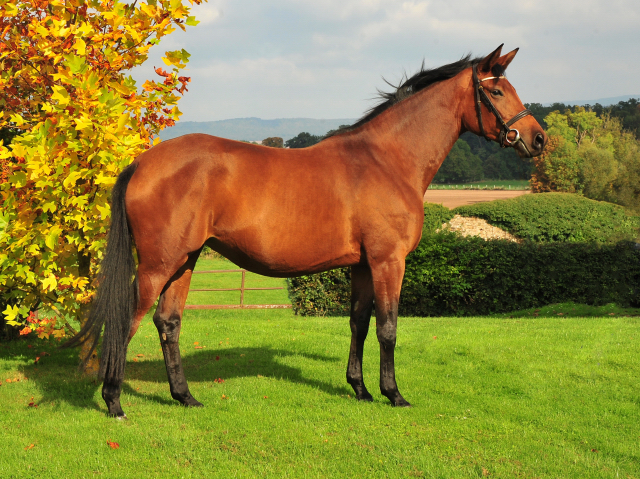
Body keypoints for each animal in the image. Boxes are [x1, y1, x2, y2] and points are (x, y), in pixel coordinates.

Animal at [65, 46, 548, 420]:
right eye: (496, 90)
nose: (539, 139)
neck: (387, 160)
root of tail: (143, 163)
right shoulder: (389, 261)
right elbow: (388, 328)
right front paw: (393, 394)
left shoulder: (363, 266)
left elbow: (359, 323)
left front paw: (359, 389)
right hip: (158, 264)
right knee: (127, 319)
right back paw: (113, 402)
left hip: (186, 260)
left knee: (168, 322)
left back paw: (185, 398)